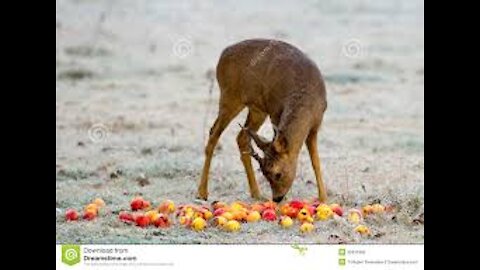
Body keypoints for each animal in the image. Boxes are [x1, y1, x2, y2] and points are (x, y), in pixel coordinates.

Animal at [197, 38, 328, 202]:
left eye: (278, 174)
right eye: (265, 173)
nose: (277, 198)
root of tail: (223, 54)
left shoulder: (315, 124)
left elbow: (315, 161)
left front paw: (323, 198)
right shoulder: (275, 113)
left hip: (257, 109)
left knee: (241, 137)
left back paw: (256, 193)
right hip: (229, 97)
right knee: (213, 133)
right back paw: (202, 192)